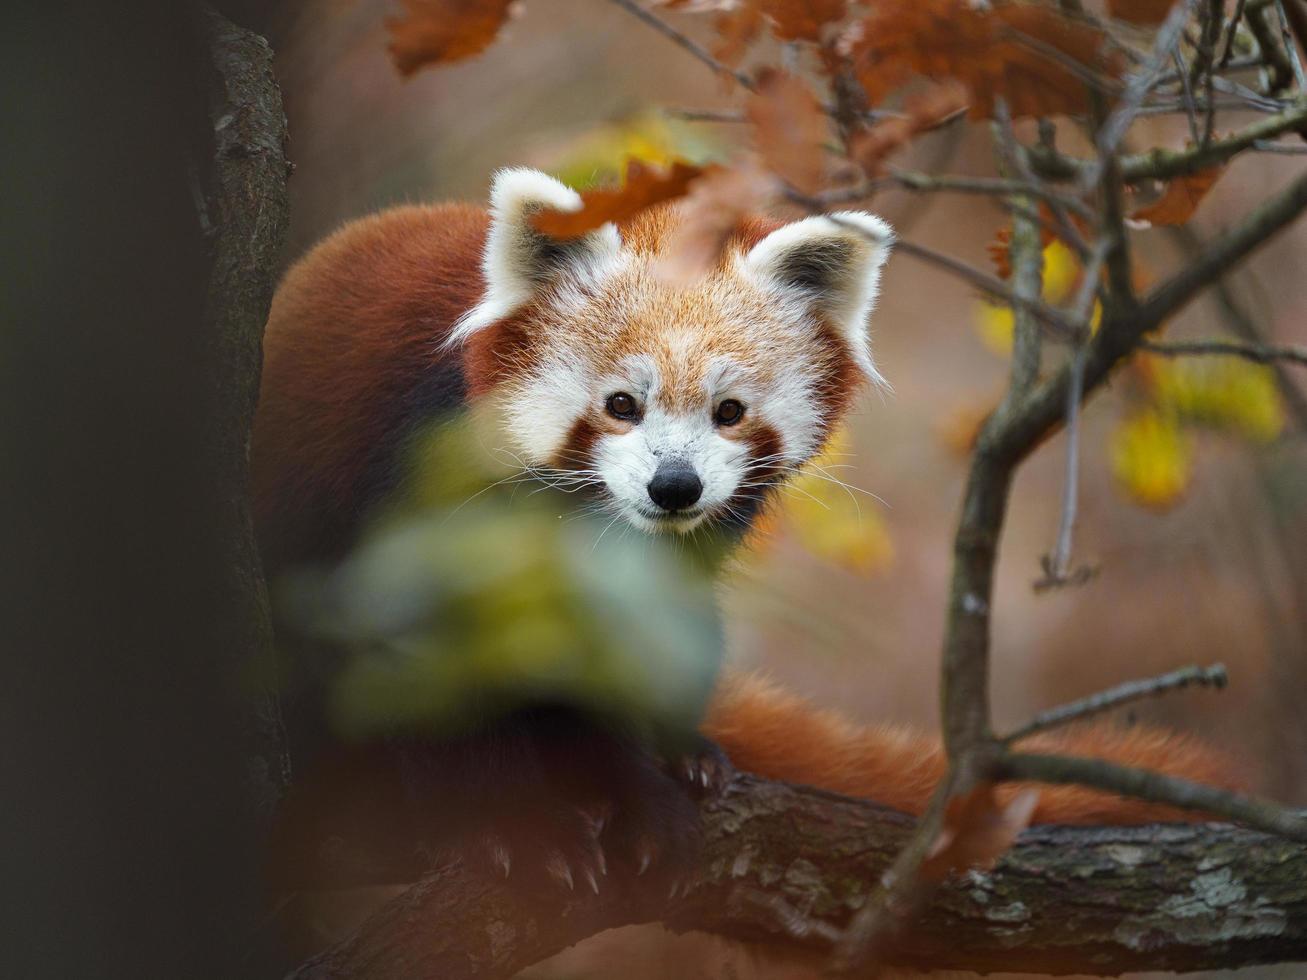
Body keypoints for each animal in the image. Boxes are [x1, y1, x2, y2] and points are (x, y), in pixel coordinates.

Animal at [254, 168, 1244, 914]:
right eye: (621, 404)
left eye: (729, 412)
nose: (674, 486)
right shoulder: (401, 481)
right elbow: (415, 673)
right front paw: (511, 828)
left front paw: (638, 790)